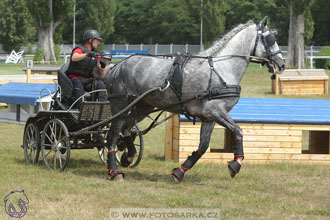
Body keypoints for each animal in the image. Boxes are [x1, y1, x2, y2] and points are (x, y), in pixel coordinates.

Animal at [104, 16, 284, 182]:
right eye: (270, 39)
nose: (281, 64)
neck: (223, 68)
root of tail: (117, 66)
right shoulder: (216, 111)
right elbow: (237, 130)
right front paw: (236, 163)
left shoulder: (209, 117)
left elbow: (203, 147)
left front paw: (180, 172)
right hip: (121, 106)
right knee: (112, 136)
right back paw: (114, 171)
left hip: (142, 107)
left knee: (126, 128)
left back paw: (128, 156)